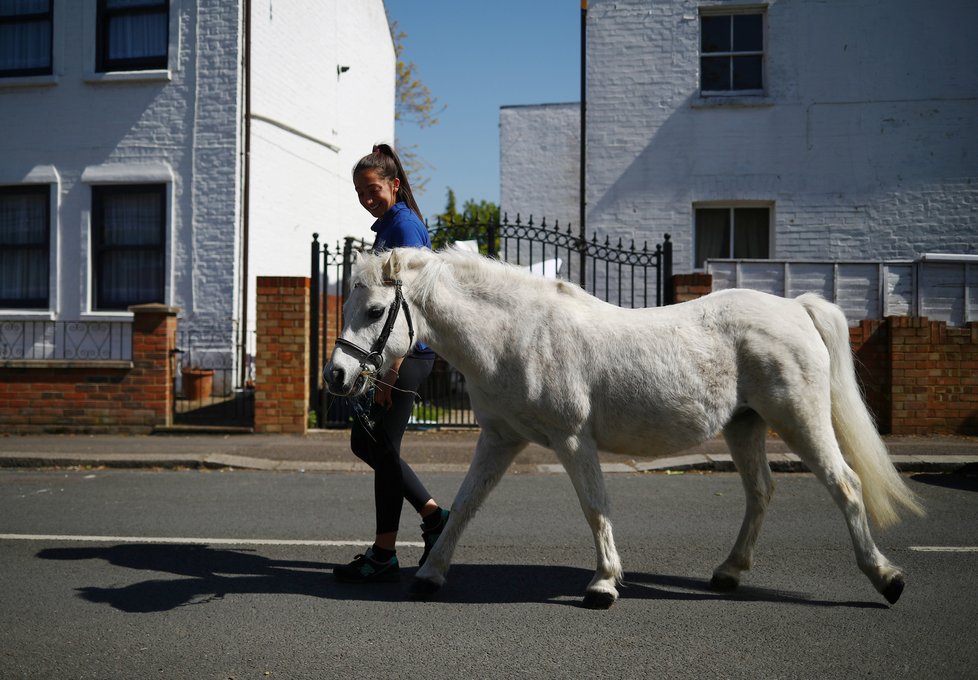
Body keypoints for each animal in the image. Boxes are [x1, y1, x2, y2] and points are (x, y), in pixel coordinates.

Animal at [328, 247, 924, 608]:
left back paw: (887, 577)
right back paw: (730, 571)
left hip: (798, 419)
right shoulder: (500, 439)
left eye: (375, 309)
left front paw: (603, 583)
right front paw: (431, 574)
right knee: (761, 491)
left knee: (845, 485)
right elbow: (467, 502)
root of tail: (795, 307)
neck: (516, 334)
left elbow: (596, 507)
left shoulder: (572, 440)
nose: (336, 375)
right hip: (745, 426)